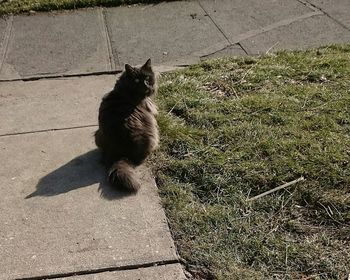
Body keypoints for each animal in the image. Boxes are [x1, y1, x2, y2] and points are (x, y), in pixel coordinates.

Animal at [93, 58, 158, 191]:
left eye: (147, 78)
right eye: (137, 80)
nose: (146, 85)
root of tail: (119, 154)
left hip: (97, 134)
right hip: (152, 136)